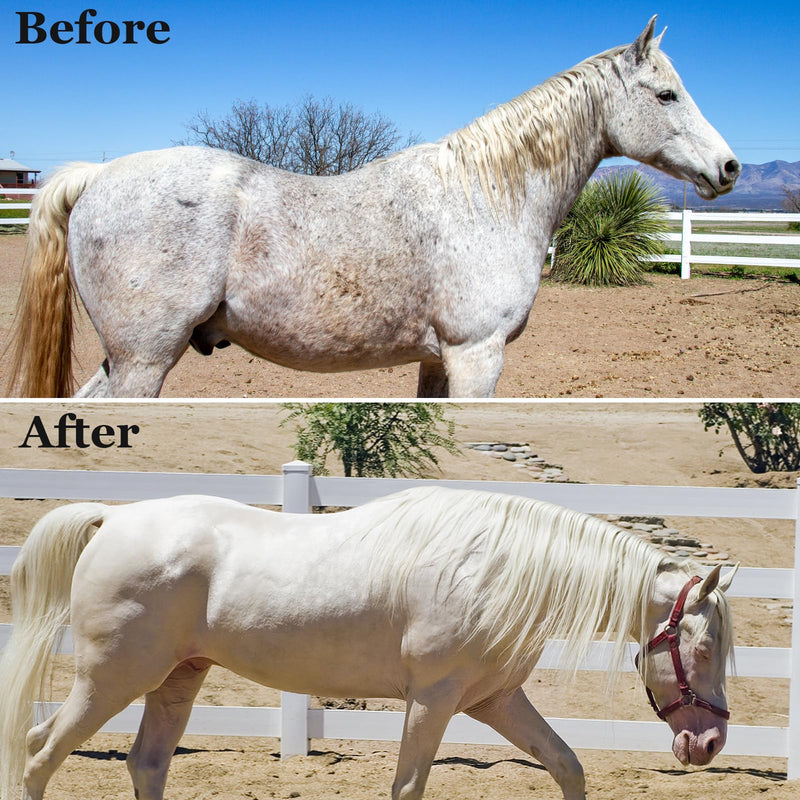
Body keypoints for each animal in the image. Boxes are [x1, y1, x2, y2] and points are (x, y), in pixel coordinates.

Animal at [0, 486, 736, 800]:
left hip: (179, 680)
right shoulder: (433, 702)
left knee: (146, 766)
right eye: (701, 649)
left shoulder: (495, 701)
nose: (708, 743)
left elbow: (567, 767)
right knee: (38, 756)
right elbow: (407, 788)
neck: (494, 568)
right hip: (112, 681)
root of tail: (113, 519)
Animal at [7, 17, 740, 399]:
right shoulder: (477, 357)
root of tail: (98, 175)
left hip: (128, 361)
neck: (485, 197)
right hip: (144, 360)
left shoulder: (439, 361)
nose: (729, 169)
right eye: (667, 95)